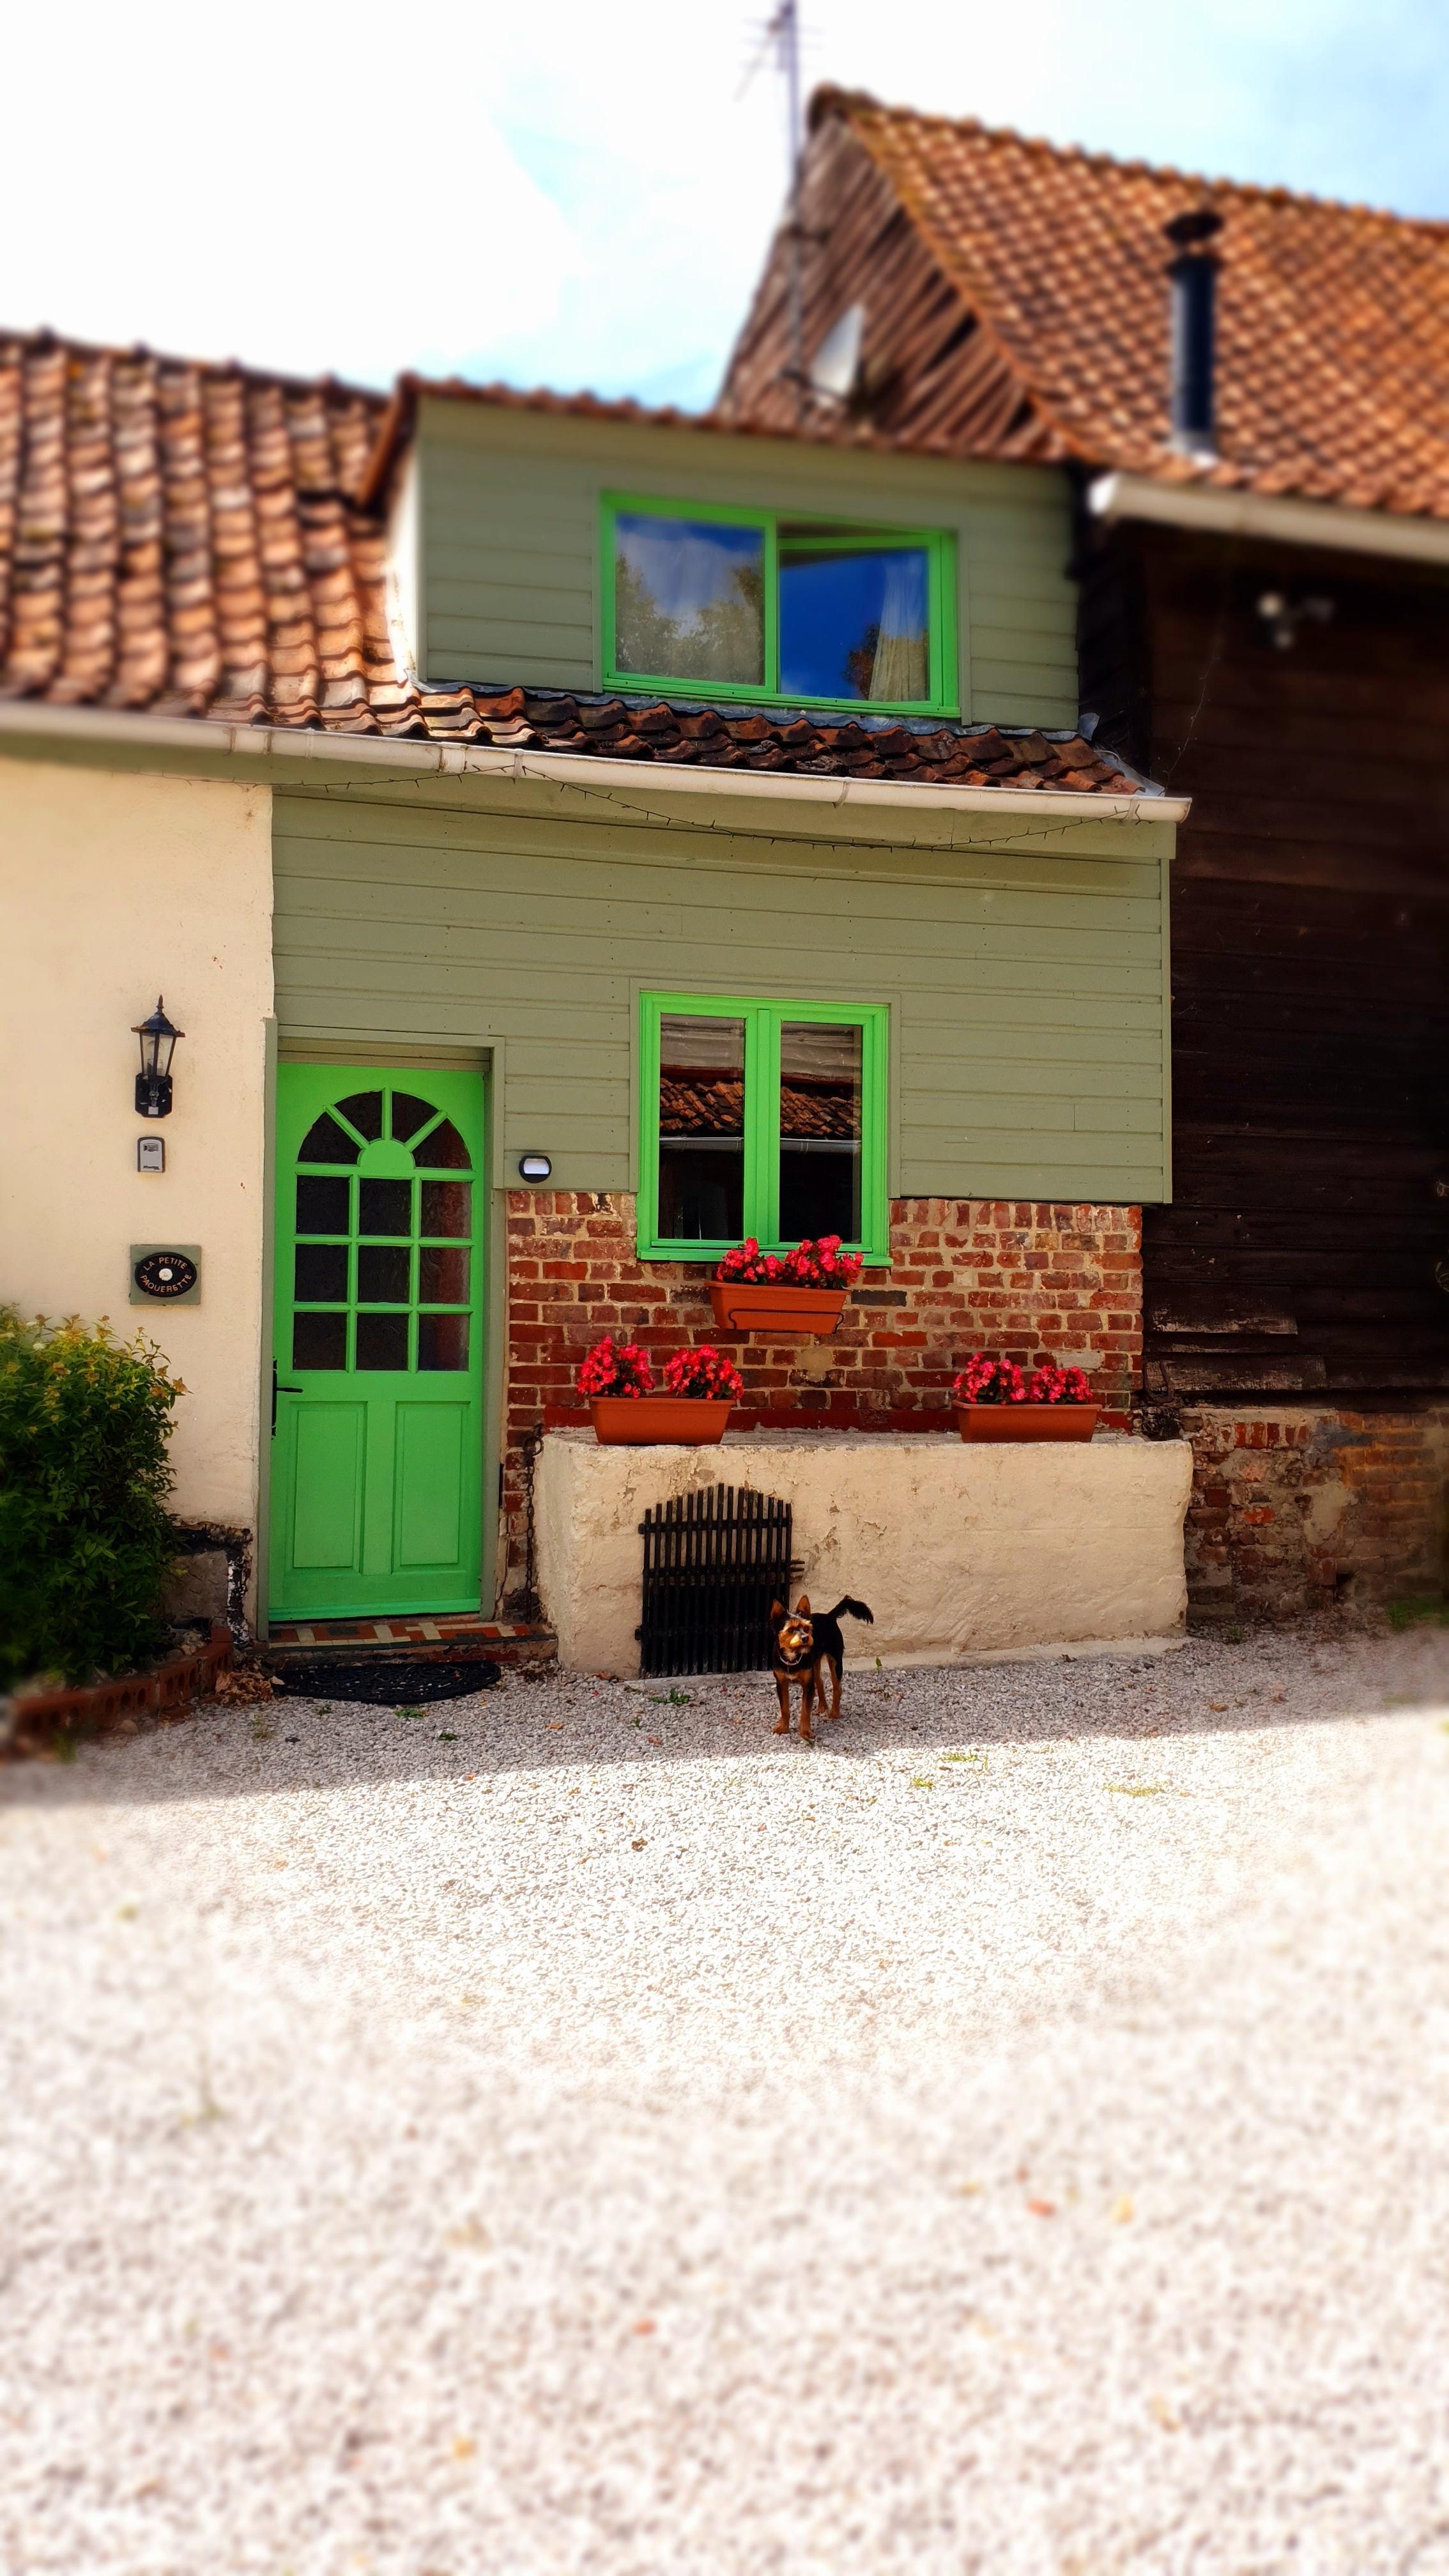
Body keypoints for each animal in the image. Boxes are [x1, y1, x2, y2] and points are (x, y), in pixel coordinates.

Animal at [768, 1597, 866, 1741]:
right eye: (790, 1630)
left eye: (806, 1628)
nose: (806, 1638)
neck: (793, 1657)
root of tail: (829, 1616)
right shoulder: (781, 1683)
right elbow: (784, 1708)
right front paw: (783, 1728)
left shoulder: (807, 1685)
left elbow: (805, 1710)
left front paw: (805, 1732)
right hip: (815, 1664)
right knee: (820, 1682)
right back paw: (822, 1706)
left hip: (835, 1661)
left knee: (837, 1687)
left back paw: (834, 1712)